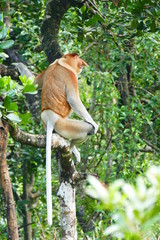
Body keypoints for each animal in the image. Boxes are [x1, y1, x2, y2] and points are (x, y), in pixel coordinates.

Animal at [34, 52, 98, 225]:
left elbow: (35, 82)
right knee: (85, 130)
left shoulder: (48, 68)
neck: (62, 63)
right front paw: (95, 124)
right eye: (78, 59)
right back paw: (72, 147)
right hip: (65, 124)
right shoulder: (71, 77)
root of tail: (50, 117)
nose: (83, 63)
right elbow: (73, 99)